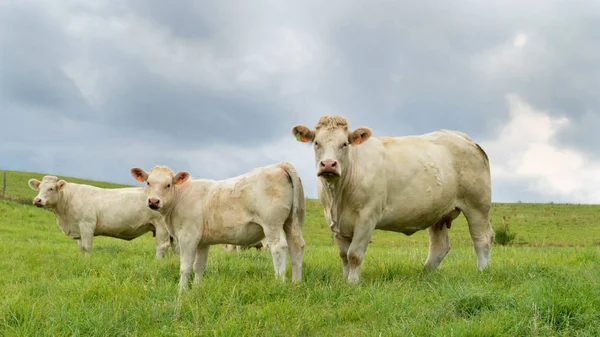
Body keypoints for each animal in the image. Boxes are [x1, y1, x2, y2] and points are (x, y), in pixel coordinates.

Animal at [27, 173, 176, 258]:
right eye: (39, 188)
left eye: (51, 188)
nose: (37, 200)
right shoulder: (78, 228)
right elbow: (81, 248)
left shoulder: (87, 224)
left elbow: (86, 247)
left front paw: (87, 262)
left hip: (161, 227)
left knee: (162, 246)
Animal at [127, 161, 304, 290]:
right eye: (148, 182)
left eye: (168, 184)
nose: (153, 201)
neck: (180, 197)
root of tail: (279, 165)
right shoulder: (202, 242)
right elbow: (199, 266)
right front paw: (197, 288)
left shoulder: (187, 237)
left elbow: (185, 266)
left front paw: (182, 290)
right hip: (293, 222)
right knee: (297, 246)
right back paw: (296, 283)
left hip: (272, 224)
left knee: (279, 247)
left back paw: (280, 282)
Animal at [290, 117, 492, 282]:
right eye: (317, 143)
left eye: (345, 143)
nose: (328, 165)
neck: (338, 197)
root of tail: (461, 136)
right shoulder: (335, 222)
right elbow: (343, 255)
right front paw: (345, 280)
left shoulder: (367, 217)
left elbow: (354, 254)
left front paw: (353, 283)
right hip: (438, 212)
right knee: (439, 246)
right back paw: (424, 274)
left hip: (477, 205)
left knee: (482, 238)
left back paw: (481, 271)